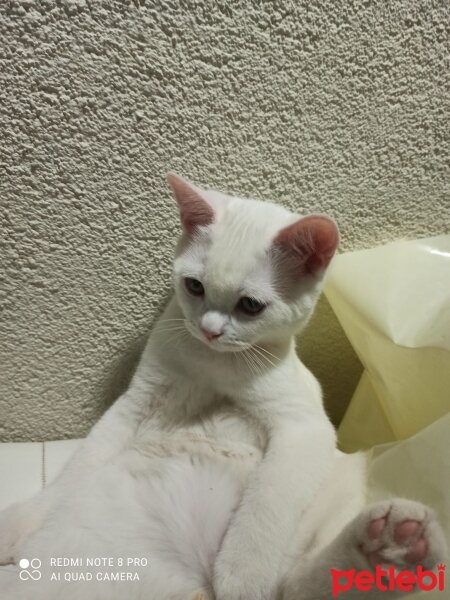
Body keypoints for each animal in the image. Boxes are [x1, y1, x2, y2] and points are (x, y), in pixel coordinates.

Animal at [0, 173, 444, 600]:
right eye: (194, 286)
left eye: (250, 305)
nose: (209, 330)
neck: (214, 363)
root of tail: (194, 584)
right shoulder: (136, 402)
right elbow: (83, 461)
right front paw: (23, 521)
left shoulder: (304, 427)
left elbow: (266, 502)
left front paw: (241, 574)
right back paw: (388, 548)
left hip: (339, 486)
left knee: (294, 587)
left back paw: (391, 549)